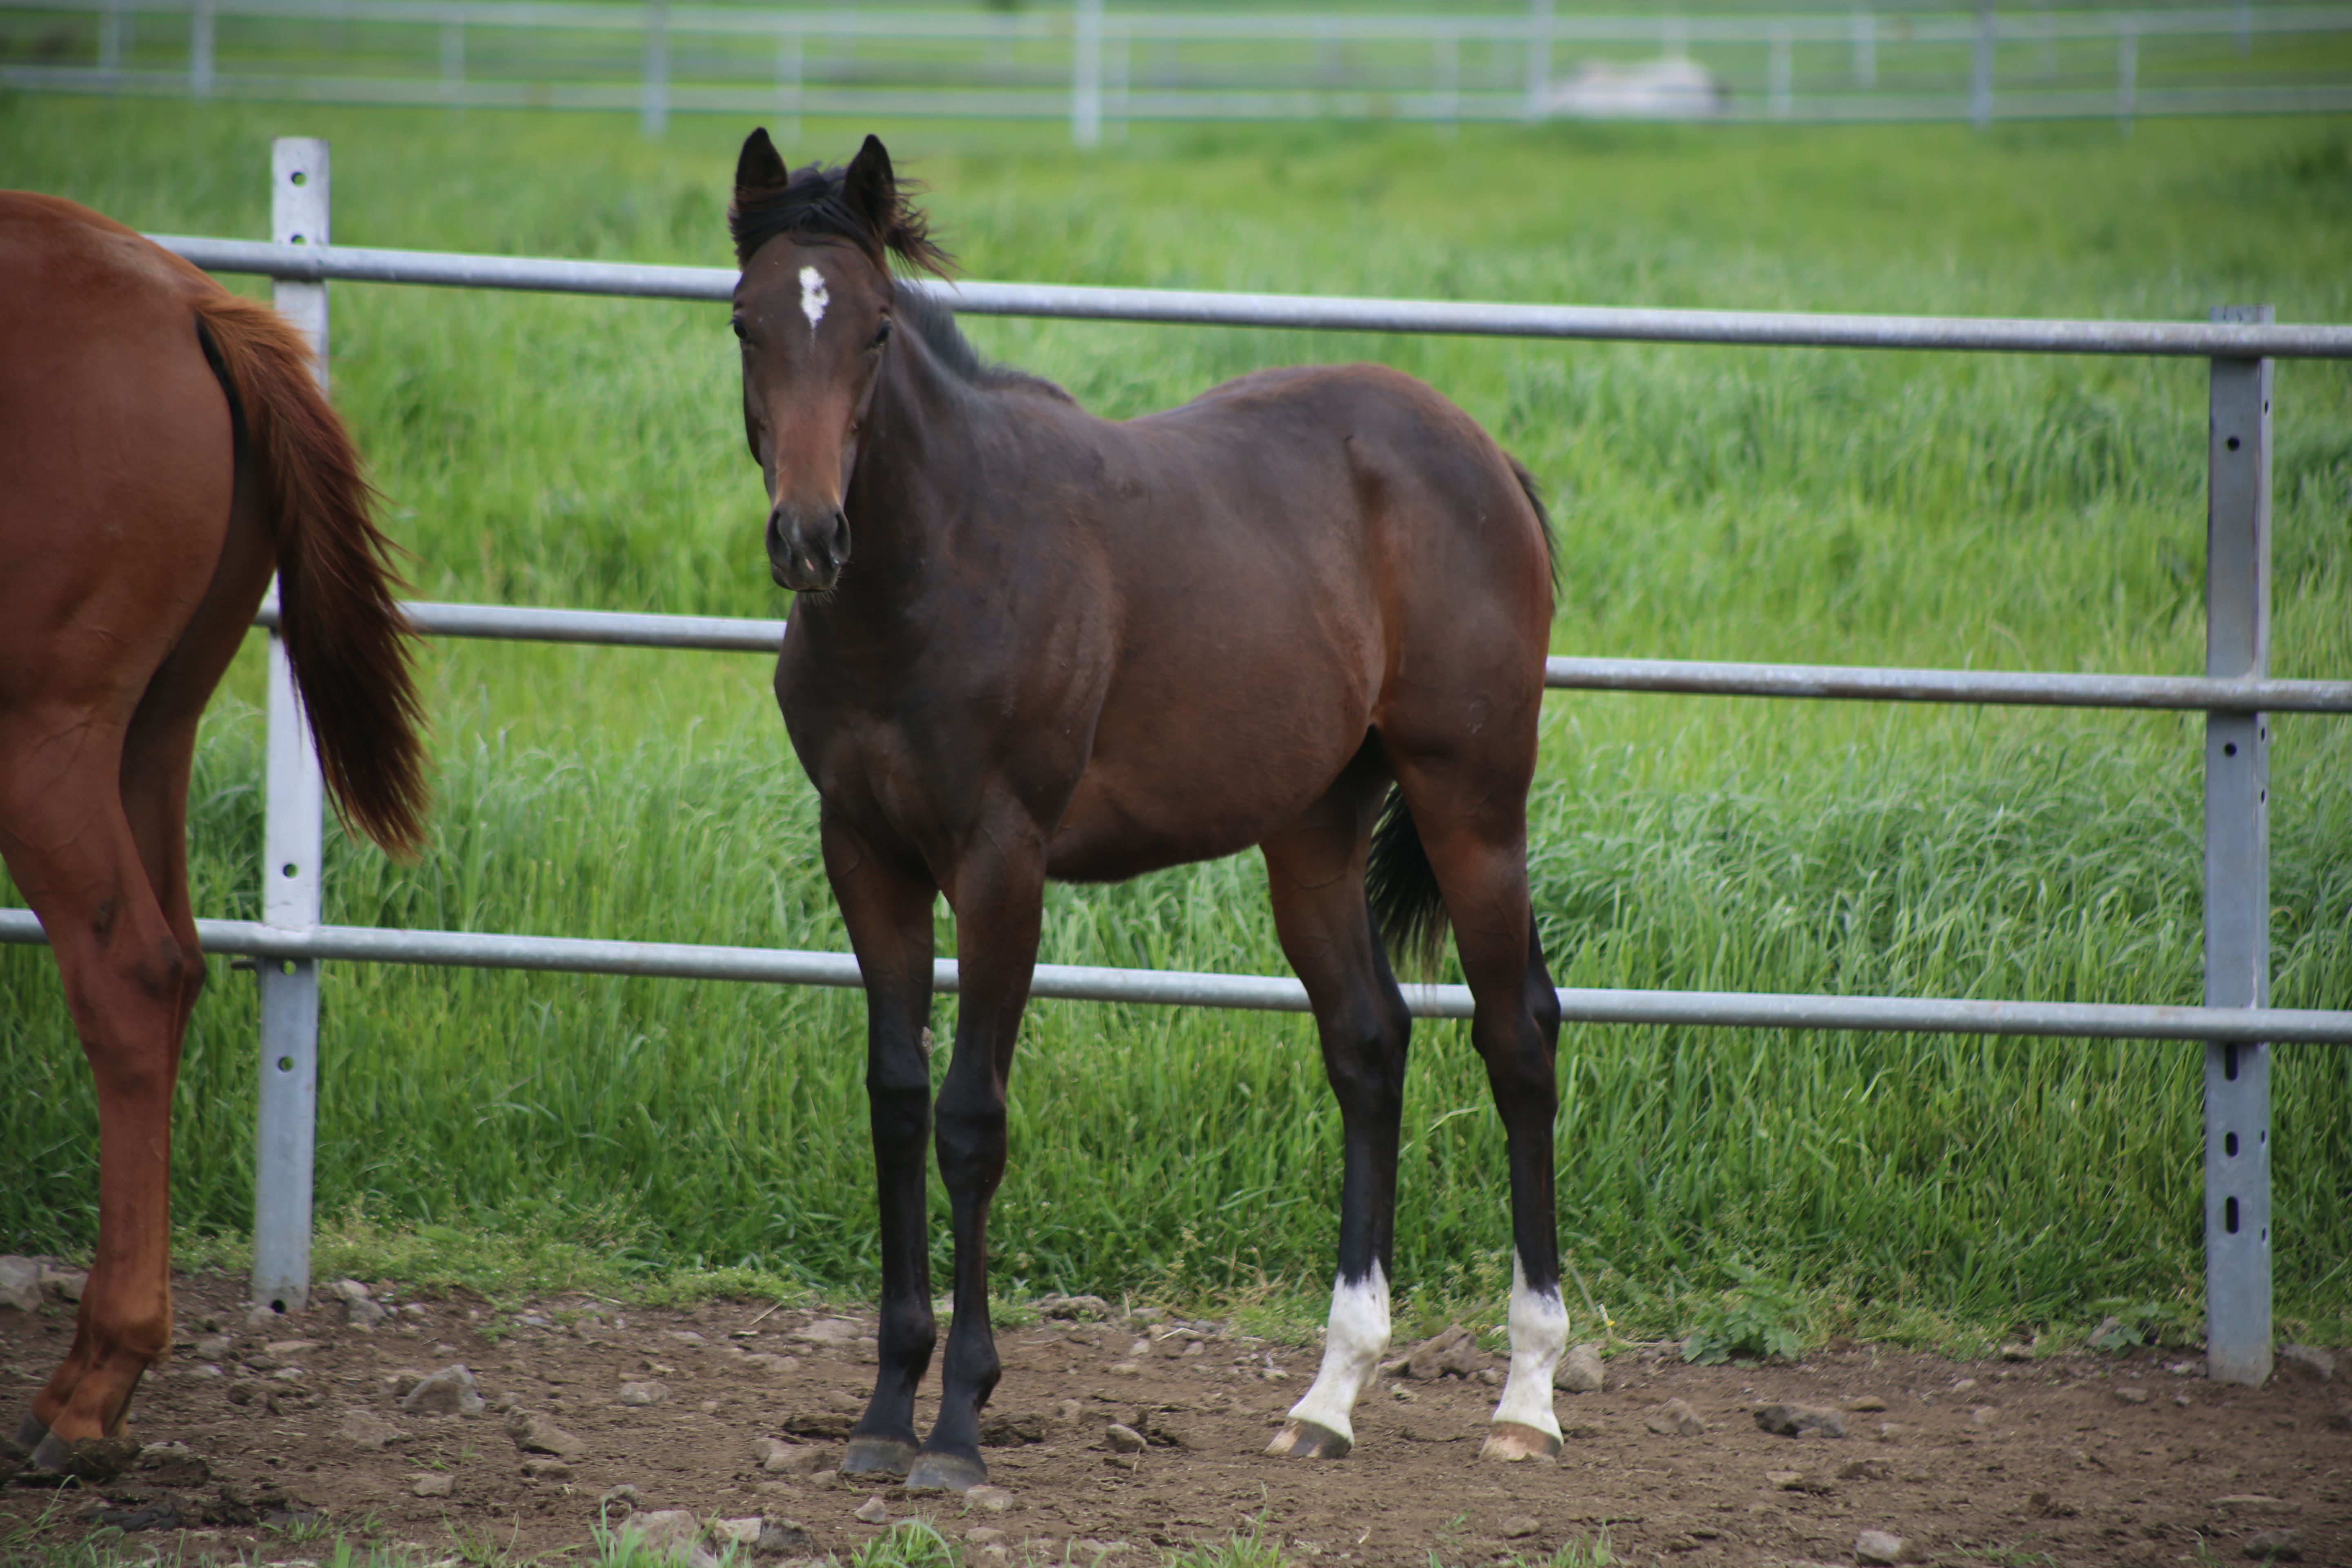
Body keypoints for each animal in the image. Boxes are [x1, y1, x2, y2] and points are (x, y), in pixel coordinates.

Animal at [0, 193, 428, 1476]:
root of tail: (186, 300)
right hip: (152, 726)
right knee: (173, 963)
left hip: (47, 730)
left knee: (129, 974)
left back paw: (87, 1390)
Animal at [734, 129, 1571, 1495]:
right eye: (747, 320)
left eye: (873, 329)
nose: (810, 537)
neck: (940, 572)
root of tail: (1481, 453)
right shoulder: (865, 853)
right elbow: (896, 1099)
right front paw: (884, 1407)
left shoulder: (1002, 861)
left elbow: (971, 1118)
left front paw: (958, 1425)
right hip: (1313, 827)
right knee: (1368, 1043)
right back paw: (1329, 1396)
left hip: (1474, 803)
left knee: (1519, 1038)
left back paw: (1528, 1396)